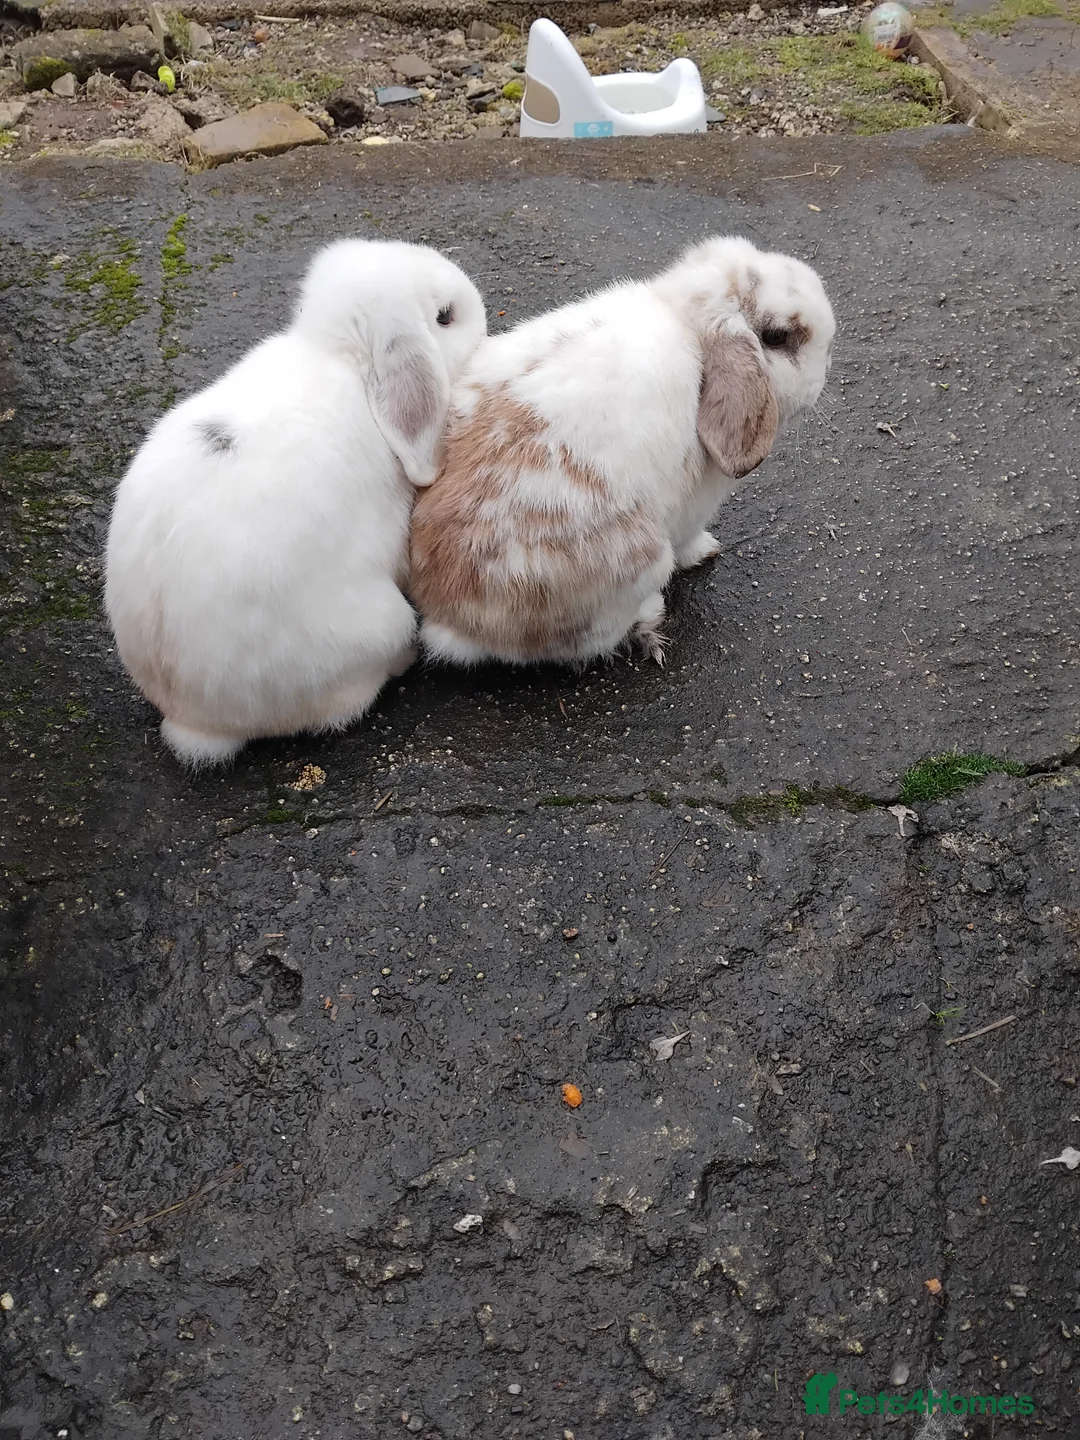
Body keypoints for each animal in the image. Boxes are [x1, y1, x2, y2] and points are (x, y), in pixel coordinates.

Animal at [410, 235, 835, 668]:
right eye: (776, 337)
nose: (823, 375)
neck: (688, 325)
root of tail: (451, 622)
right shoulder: (693, 510)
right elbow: (690, 540)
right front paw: (707, 550)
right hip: (644, 560)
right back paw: (651, 616)